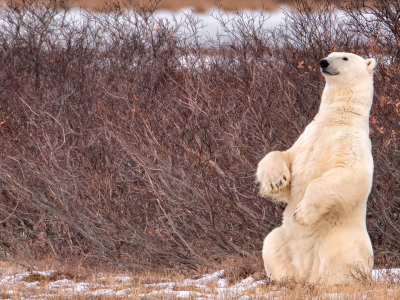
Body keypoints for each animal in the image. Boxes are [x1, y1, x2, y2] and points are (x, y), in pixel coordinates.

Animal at [258, 52, 376, 284]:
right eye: (330, 55)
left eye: (344, 57)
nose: (324, 62)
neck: (336, 121)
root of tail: (305, 271)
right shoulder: (306, 140)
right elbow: (283, 157)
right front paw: (276, 181)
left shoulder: (353, 146)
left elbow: (349, 175)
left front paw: (301, 213)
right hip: (283, 239)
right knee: (271, 243)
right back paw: (286, 280)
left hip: (338, 237)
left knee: (338, 257)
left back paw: (332, 281)